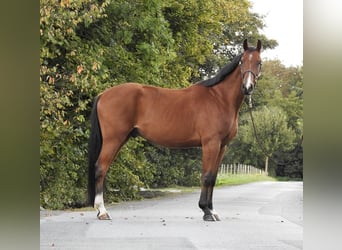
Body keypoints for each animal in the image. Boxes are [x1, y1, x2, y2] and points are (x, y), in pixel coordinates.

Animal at [87, 39, 262, 221]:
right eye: (242, 62)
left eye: (259, 63)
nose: (247, 87)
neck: (219, 98)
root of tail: (103, 95)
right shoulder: (211, 144)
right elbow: (206, 176)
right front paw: (206, 211)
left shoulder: (222, 146)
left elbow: (213, 178)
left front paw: (212, 211)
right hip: (113, 139)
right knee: (100, 168)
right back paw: (102, 211)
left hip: (120, 139)